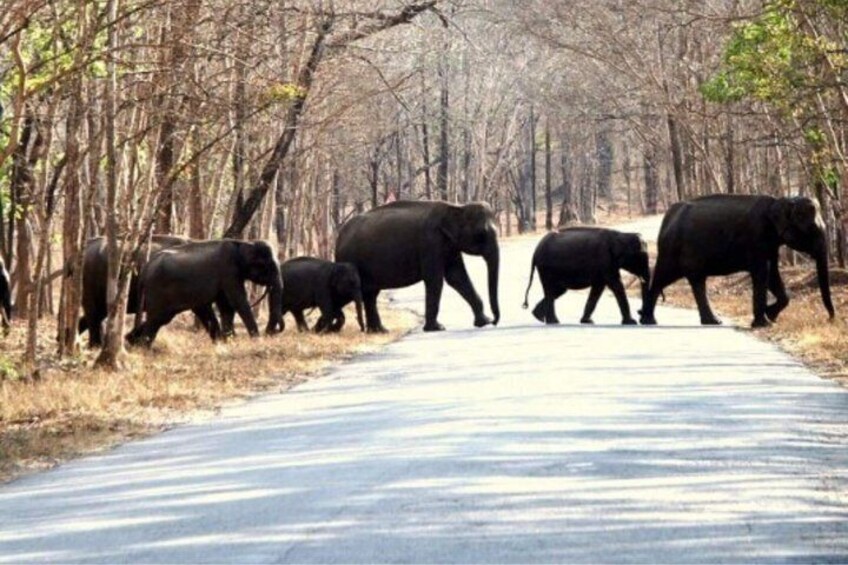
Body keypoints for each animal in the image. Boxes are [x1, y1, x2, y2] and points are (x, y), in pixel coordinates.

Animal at [126, 239, 283, 347]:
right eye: (265, 265)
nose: (270, 333)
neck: (244, 244)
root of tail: (145, 269)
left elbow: (226, 306)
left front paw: (228, 341)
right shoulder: (229, 271)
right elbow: (237, 301)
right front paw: (255, 340)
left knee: (161, 318)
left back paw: (131, 341)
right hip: (157, 291)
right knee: (156, 318)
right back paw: (143, 348)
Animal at [336, 200, 500, 332]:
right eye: (481, 233)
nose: (494, 321)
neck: (457, 207)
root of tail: (339, 237)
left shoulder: (450, 246)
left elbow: (457, 277)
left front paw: (483, 322)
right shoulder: (430, 242)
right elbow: (435, 280)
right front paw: (437, 328)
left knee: (371, 295)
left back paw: (379, 331)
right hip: (352, 261)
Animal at [639, 194, 835, 328]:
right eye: (811, 228)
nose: (830, 319)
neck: (781, 200)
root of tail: (668, 217)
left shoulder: (770, 244)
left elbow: (772, 274)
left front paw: (770, 316)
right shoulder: (757, 237)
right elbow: (762, 273)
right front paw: (764, 323)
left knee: (694, 281)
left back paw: (712, 321)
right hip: (671, 249)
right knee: (664, 278)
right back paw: (649, 320)